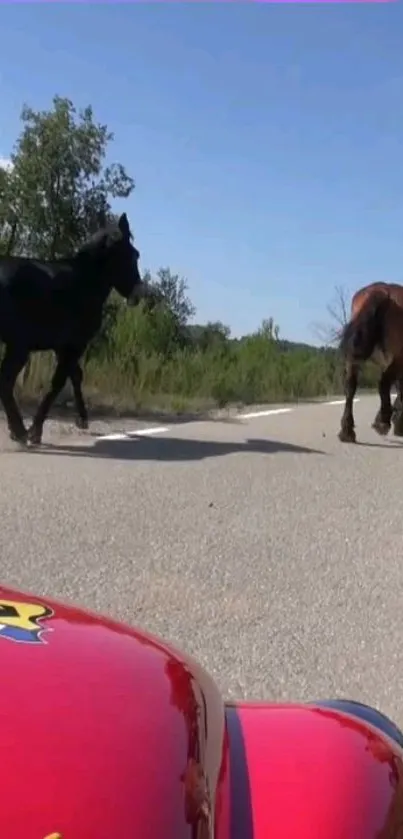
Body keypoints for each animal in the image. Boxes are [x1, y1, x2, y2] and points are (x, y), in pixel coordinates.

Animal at [0, 210, 153, 446]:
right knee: (6, 382)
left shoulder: (64, 347)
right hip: (18, 346)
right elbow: (58, 383)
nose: (138, 294)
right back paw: (19, 430)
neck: (85, 281)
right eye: (134, 255)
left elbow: (75, 376)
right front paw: (36, 430)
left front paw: (82, 419)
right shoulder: (74, 345)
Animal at [340, 282, 403, 442]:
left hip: (353, 358)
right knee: (384, 383)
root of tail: (381, 291)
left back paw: (347, 431)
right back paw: (382, 423)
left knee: (350, 387)